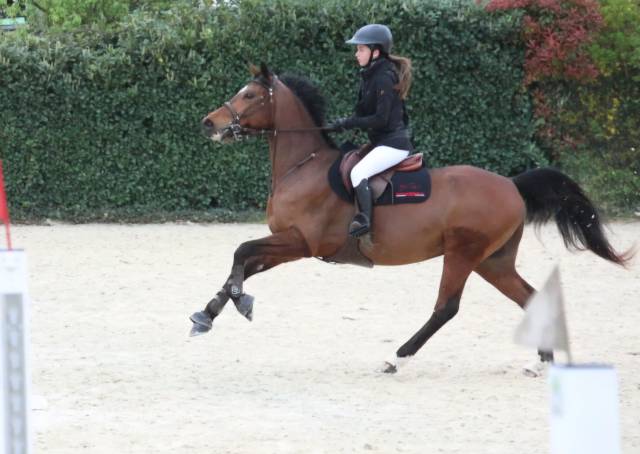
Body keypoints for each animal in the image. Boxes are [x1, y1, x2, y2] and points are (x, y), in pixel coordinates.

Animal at [191, 63, 632, 373]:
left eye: (249, 94)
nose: (208, 123)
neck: (304, 164)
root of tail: (511, 183)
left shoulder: (301, 242)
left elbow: (241, 250)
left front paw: (238, 301)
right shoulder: (286, 244)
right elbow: (245, 262)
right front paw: (209, 313)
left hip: (463, 254)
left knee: (446, 307)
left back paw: (396, 357)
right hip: (493, 261)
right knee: (529, 297)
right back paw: (541, 361)